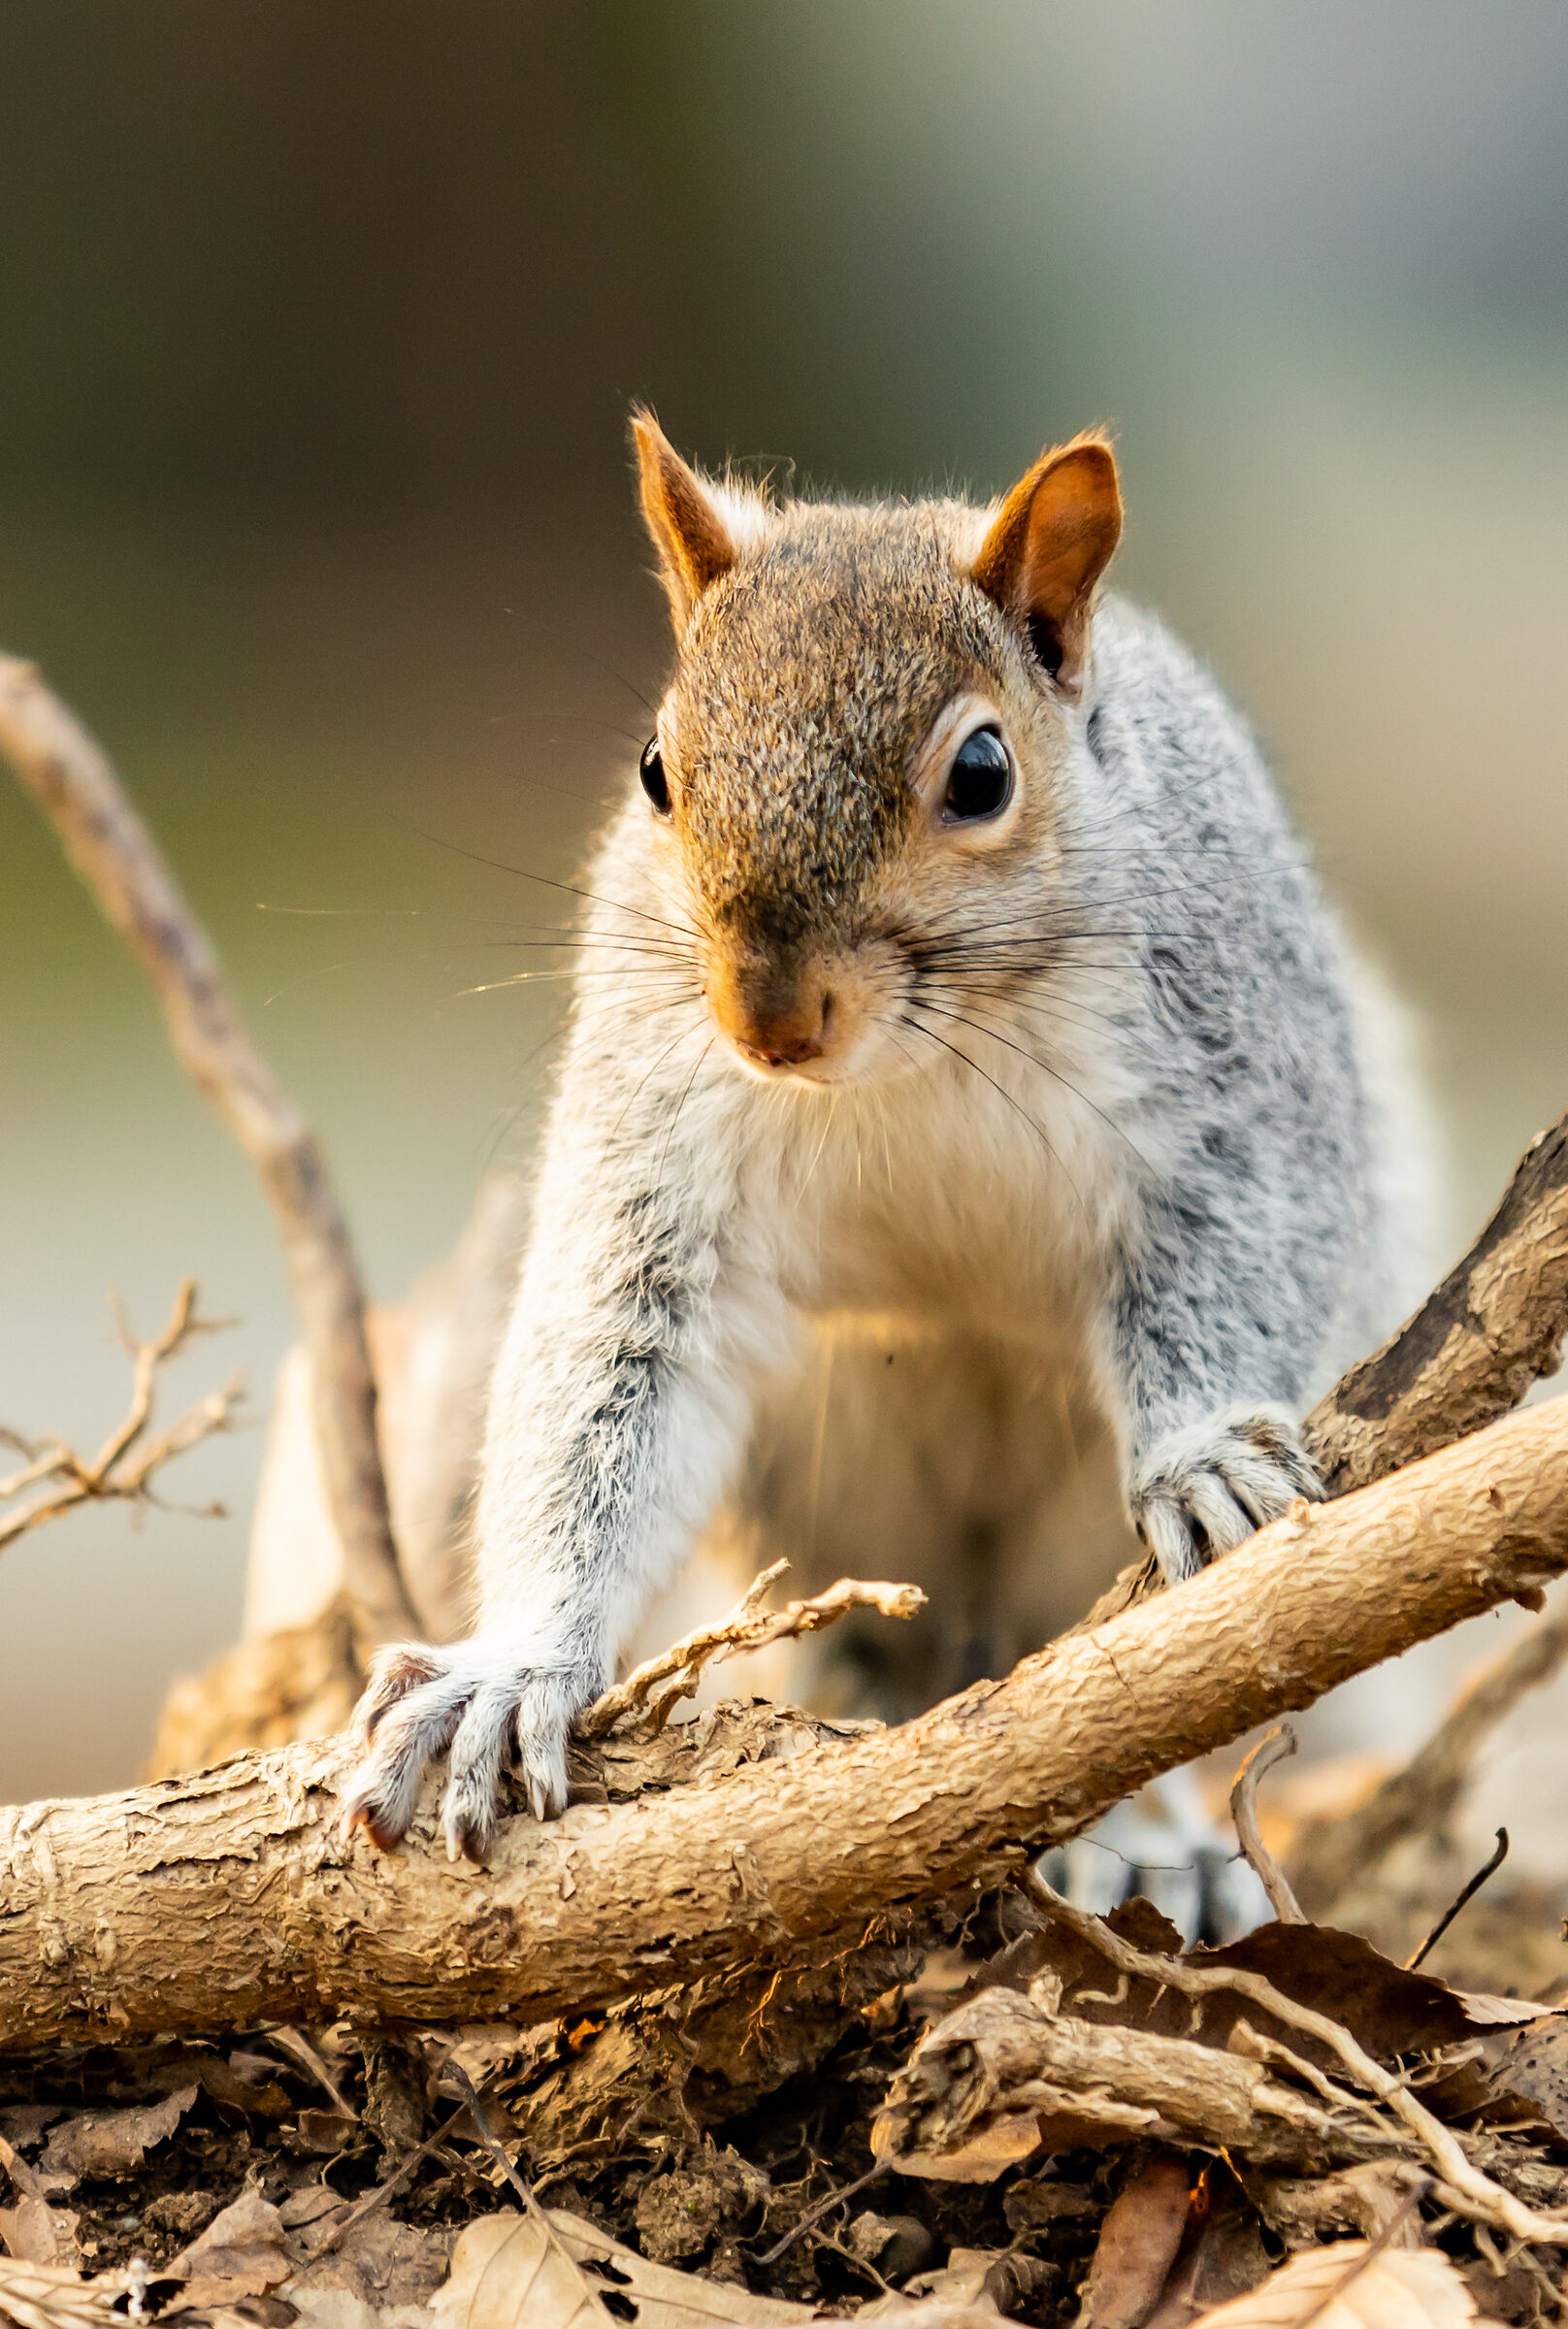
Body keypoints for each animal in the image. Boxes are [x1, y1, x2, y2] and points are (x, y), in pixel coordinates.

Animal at [343, 415, 1434, 1861]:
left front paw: (1200, 1452)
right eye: (655, 772)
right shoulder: (662, 1158)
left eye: (981, 774)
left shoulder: (1234, 1083)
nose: (764, 1019)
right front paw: (510, 1669)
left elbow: (1245, 1248)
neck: (915, 1059)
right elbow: (607, 1383)